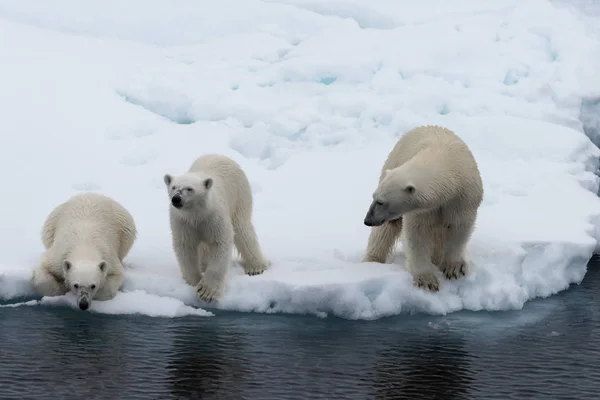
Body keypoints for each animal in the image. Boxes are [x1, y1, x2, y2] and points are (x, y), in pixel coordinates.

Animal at [162, 155, 270, 302]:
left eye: (189, 189)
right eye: (173, 187)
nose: (176, 199)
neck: (197, 213)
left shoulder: (214, 217)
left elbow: (220, 243)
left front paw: (207, 291)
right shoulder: (183, 221)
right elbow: (186, 246)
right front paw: (194, 281)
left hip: (239, 194)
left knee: (242, 228)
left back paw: (256, 267)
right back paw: (203, 264)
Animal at [360, 123, 482, 292]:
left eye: (381, 202)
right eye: (374, 198)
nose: (368, 220)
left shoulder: (463, 198)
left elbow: (459, 227)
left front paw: (454, 268)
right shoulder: (422, 210)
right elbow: (417, 234)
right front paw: (427, 280)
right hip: (392, 162)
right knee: (385, 232)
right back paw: (372, 261)